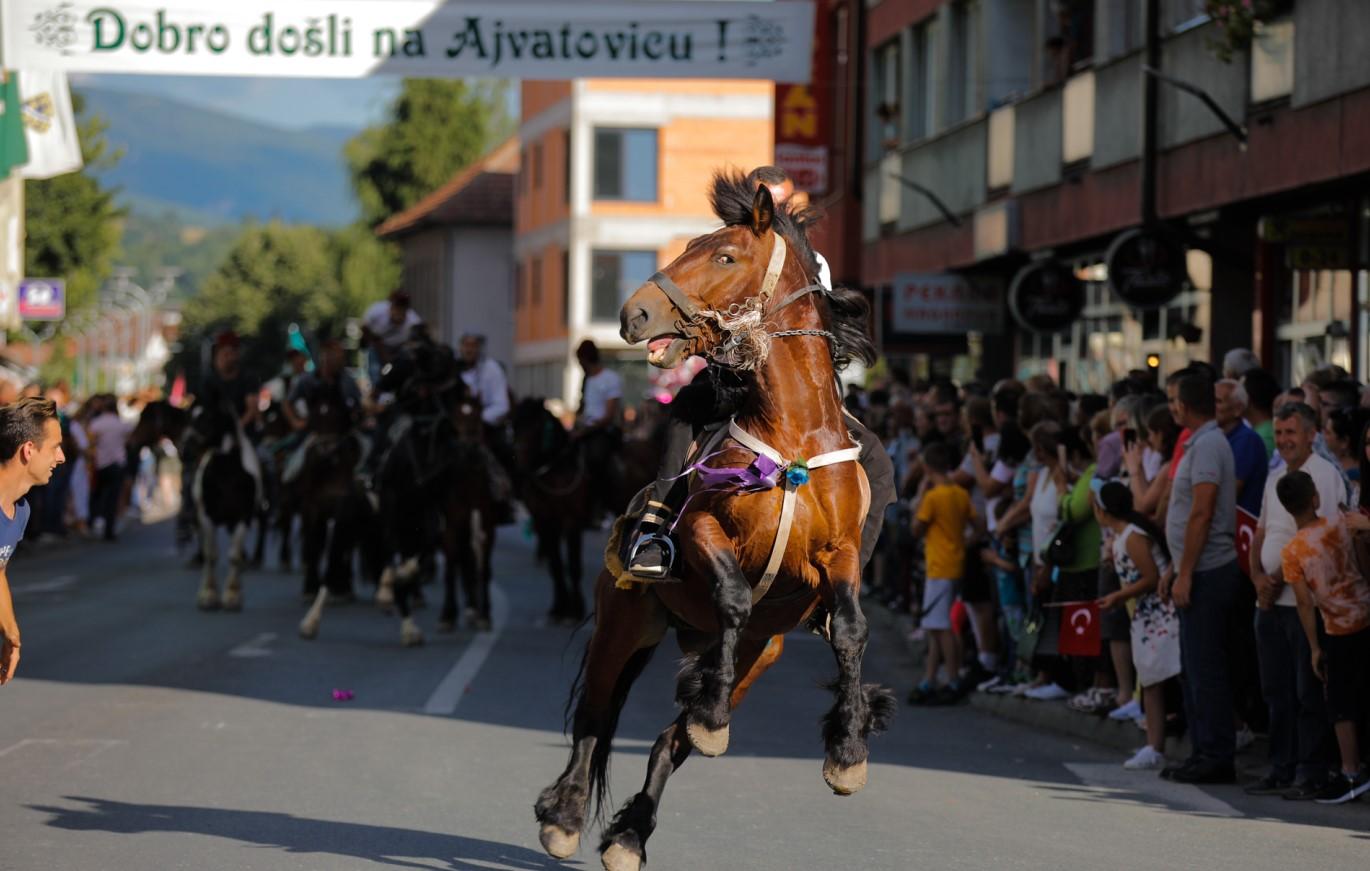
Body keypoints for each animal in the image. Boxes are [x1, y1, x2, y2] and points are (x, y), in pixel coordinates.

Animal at [528, 171, 893, 871]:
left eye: (724, 256)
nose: (634, 314)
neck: (793, 437)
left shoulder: (840, 556)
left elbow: (852, 629)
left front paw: (847, 752)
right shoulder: (702, 532)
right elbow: (731, 593)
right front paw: (715, 709)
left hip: (760, 655)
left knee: (669, 744)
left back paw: (633, 831)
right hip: (625, 621)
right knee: (594, 713)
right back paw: (565, 815)